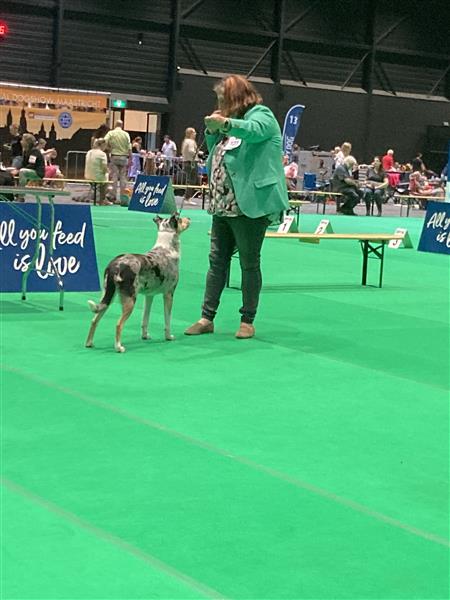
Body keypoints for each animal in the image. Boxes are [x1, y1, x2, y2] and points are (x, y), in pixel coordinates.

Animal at [85, 213, 190, 352]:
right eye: (180, 219)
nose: (189, 218)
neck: (166, 248)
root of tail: (115, 265)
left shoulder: (149, 296)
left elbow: (145, 319)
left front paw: (145, 336)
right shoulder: (168, 294)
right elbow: (167, 320)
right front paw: (169, 336)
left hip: (108, 296)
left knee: (94, 320)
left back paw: (89, 343)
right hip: (130, 301)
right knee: (118, 324)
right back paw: (119, 347)